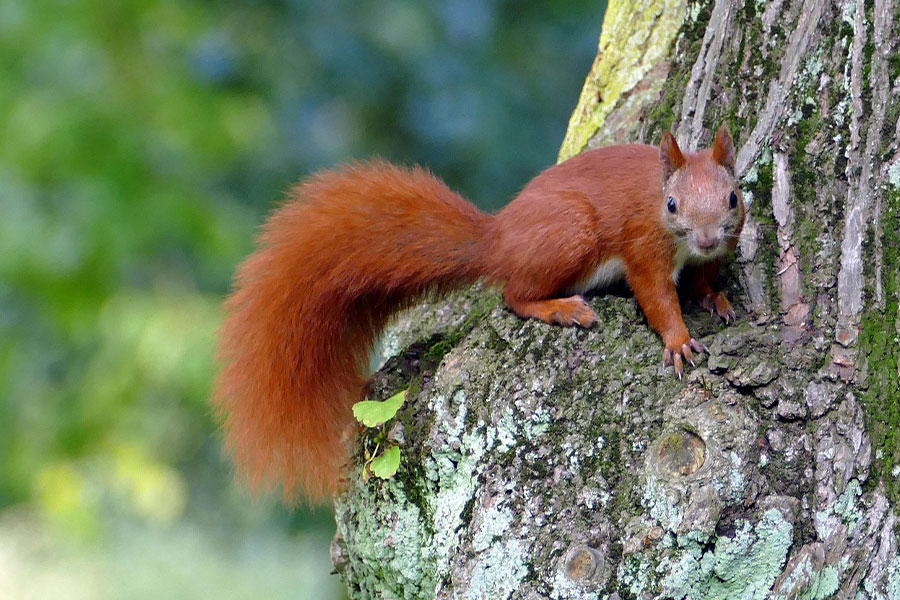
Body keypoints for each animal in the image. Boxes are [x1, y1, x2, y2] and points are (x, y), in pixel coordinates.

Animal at [214, 125, 745, 503]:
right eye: (671, 204)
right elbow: (655, 296)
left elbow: (703, 279)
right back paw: (559, 309)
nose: (704, 238)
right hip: (571, 235)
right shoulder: (644, 248)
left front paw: (716, 299)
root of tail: (498, 240)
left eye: (734, 197)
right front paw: (678, 340)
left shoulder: (718, 248)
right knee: (513, 293)